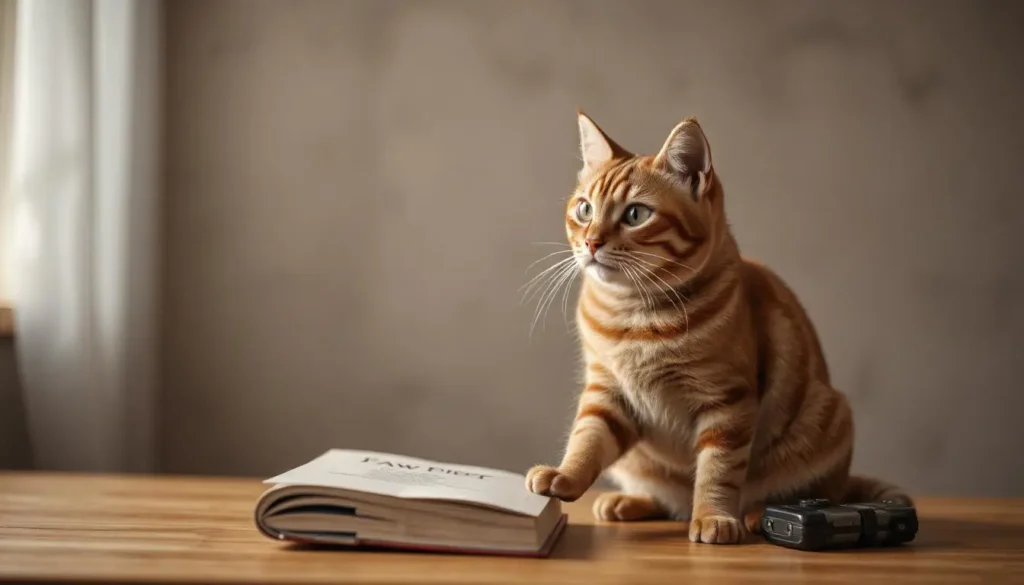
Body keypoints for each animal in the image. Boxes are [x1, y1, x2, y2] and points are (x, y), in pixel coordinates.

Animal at [524, 111, 909, 545]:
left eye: (636, 214)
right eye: (585, 210)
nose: (591, 242)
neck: (635, 316)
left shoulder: (726, 401)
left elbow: (718, 469)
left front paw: (713, 517)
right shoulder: (606, 391)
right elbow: (586, 440)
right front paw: (564, 476)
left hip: (827, 421)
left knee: (810, 491)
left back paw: (759, 515)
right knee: (667, 499)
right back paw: (628, 502)